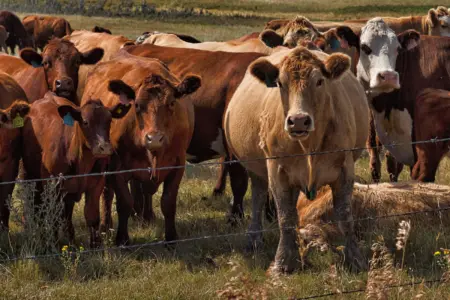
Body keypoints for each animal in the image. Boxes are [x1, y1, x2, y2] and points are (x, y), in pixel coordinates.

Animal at [22, 92, 132, 246]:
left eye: (109, 121)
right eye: (85, 122)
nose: (104, 147)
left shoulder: (96, 184)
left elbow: (92, 216)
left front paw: (95, 245)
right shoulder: (52, 185)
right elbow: (53, 215)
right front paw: (54, 244)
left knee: (66, 213)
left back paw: (71, 238)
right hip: (28, 174)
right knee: (33, 203)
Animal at [81, 52, 200, 245]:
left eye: (172, 103)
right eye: (136, 105)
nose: (154, 139)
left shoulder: (178, 164)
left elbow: (168, 202)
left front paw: (171, 238)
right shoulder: (117, 166)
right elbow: (124, 203)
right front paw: (122, 239)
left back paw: (146, 216)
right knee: (108, 193)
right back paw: (106, 226)